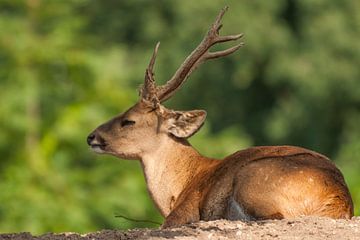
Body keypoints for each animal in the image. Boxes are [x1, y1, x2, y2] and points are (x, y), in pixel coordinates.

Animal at [86, 6, 352, 228]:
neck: (181, 185)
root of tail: (339, 200)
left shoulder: (184, 211)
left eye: (129, 120)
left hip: (254, 177)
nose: (91, 137)